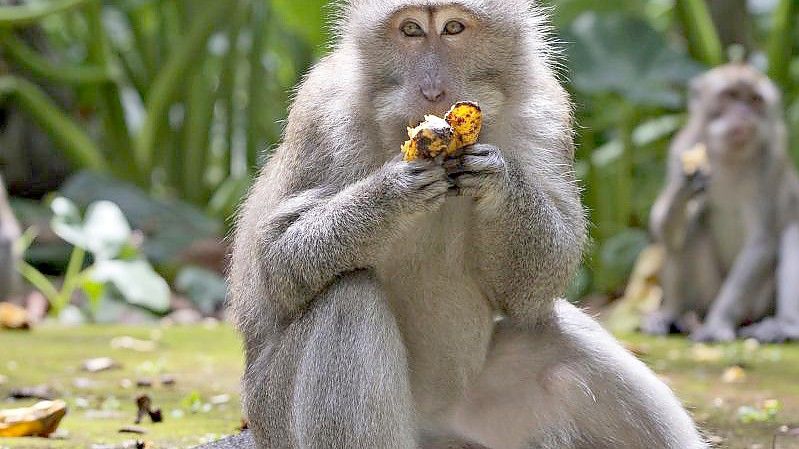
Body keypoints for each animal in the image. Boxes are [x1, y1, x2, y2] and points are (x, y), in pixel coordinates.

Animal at [217, 0, 708, 448]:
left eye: (453, 28)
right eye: (411, 30)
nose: (433, 91)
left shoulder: (546, 113)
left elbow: (533, 289)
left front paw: (501, 181)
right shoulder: (321, 112)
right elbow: (276, 261)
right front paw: (392, 191)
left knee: (558, 335)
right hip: (275, 414)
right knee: (348, 298)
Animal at [648, 63, 799, 342]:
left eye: (754, 100)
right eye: (730, 95)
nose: (743, 115)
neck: (730, 156)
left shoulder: (770, 164)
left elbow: (761, 242)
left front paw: (717, 323)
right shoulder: (681, 147)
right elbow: (661, 227)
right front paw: (685, 185)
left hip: (760, 304)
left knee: (792, 232)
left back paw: (784, 325)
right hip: (705, 296)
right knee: (689, 228)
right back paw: (672, 314)